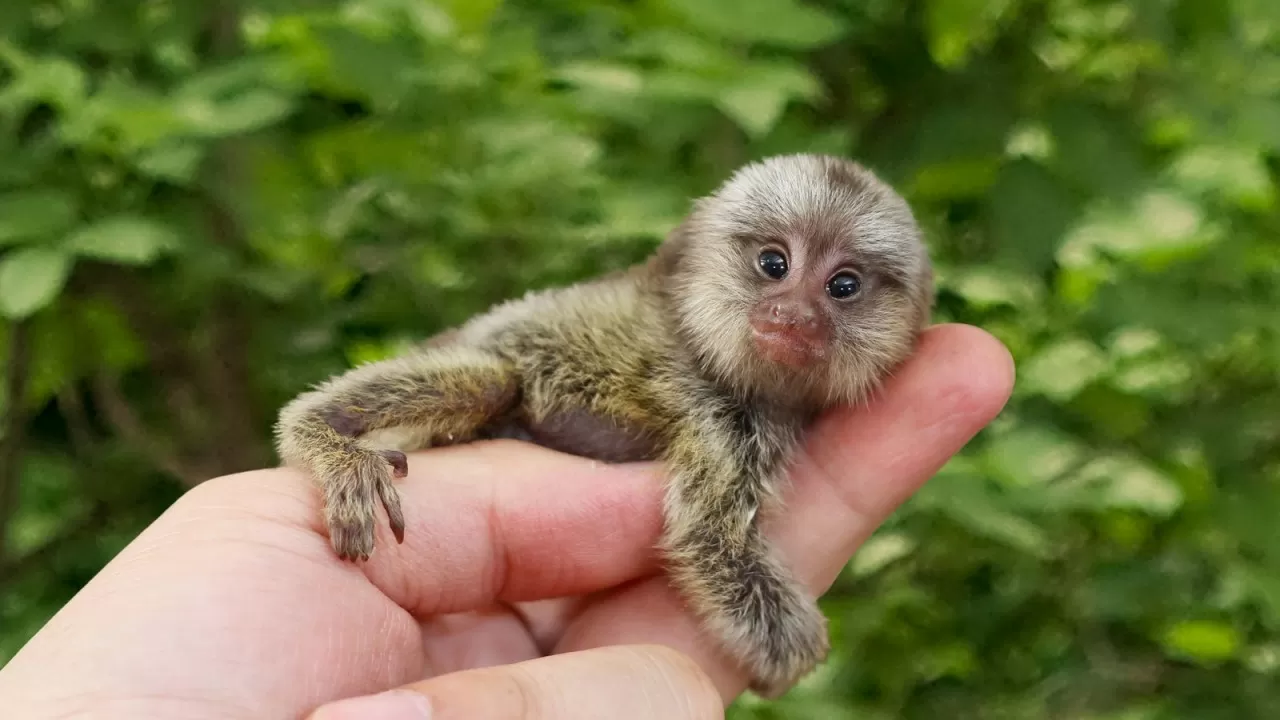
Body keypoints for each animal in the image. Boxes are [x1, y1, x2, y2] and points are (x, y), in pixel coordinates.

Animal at [275, 152, 931, 696]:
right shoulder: (715, 412)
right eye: (775, 264)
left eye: (842, 285)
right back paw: (325, 440)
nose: (792, 316)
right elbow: (710, 536)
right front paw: (793, 653)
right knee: (491, 379)